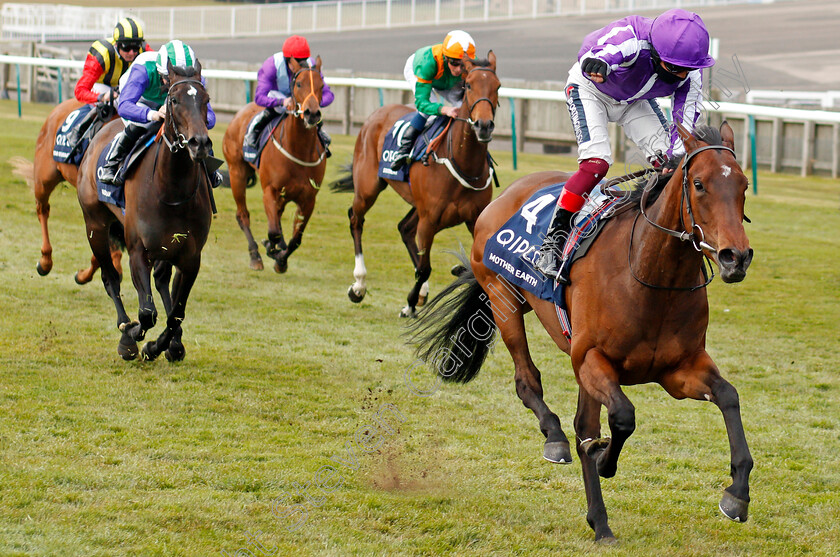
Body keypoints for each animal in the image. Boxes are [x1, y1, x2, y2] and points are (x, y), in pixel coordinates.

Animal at [76, 62, 213, 360]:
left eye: (206, 100)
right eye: (174, 101)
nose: (199, 143)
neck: (171, 190)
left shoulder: (190, 256)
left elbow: (176, 314)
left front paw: (159, 346)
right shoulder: (138, 250)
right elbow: (147, 312)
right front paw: (130, 338)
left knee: (161, 281)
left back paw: (174, 344)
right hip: (95, 225)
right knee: (110, 278)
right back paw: (124, 326)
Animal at [221, 56, 326, 274]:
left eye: (321, 85)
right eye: (299, 84)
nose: (312, 114)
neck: (298, 149)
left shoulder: (308, 199)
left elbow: (296, 239)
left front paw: (281, 259)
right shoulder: (270, 190)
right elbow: (273, 232)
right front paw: (272, 249)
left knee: (277, 216)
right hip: (237, 173)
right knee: (243, 215)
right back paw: (255, 256)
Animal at [328, 52, 498, 318]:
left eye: (497, 86)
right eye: (469, 85)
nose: (484, 125)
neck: (463, 161)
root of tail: (376, 114)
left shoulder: (474, 219)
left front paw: (452, 274)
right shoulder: (429, 220)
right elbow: (425, 267)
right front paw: (408, 304)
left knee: (405, 228)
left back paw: (421, 291)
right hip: (368, 188)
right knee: (356, 219)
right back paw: (359, 285)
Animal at [410, 122, 756, 544]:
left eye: (742, 185)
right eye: (700, 184)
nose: (735, 257)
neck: (649, 275)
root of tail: (507, 194)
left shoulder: (679, 370)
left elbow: (729, 396)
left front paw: (737, 494)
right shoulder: (592, 359)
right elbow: (622, 417)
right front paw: (605, 458)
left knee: (582, 425)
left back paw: (600, 521)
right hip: (501, 296)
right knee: (530, 384)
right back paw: (556, 440)